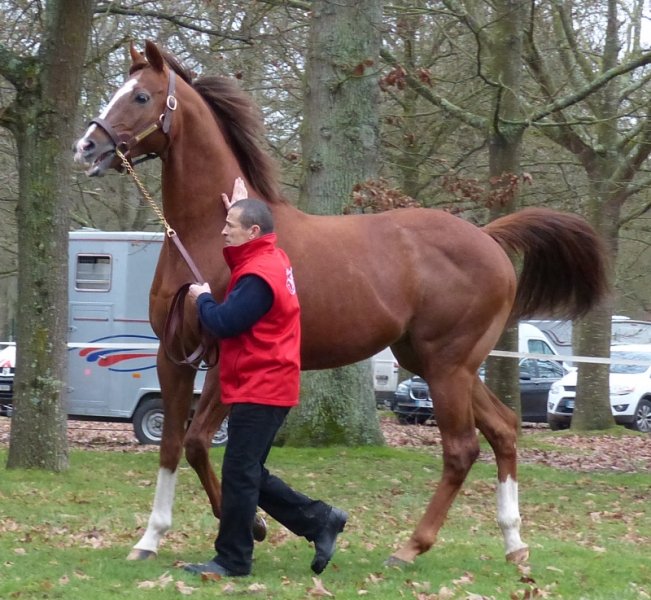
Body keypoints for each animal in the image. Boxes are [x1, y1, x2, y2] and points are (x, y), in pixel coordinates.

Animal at [73, 40, 609, 567]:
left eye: (141, 96)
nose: (87, 147)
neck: (208, 237)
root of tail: (490, 238)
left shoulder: (224, 359)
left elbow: (199, 442)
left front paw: (253, 526)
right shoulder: (173, 357)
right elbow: (170, 445)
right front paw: (151, 537)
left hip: (447, 367)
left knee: (462, 448)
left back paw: (410, 548)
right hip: (437, 363)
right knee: (504, 429)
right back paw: (514, 544)